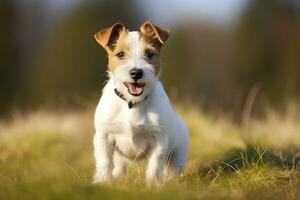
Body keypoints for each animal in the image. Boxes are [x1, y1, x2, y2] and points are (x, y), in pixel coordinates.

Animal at [92, 21, 189, 184]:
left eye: (149, 54)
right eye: (120, 54)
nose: (136, 73)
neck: (132, 103)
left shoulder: (159, 140)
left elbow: (155, 165)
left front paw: (152, 184)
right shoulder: (103, 137)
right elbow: (105, 162)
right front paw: (102, 181)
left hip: (177, 154)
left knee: (173, 169)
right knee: (118, 166)